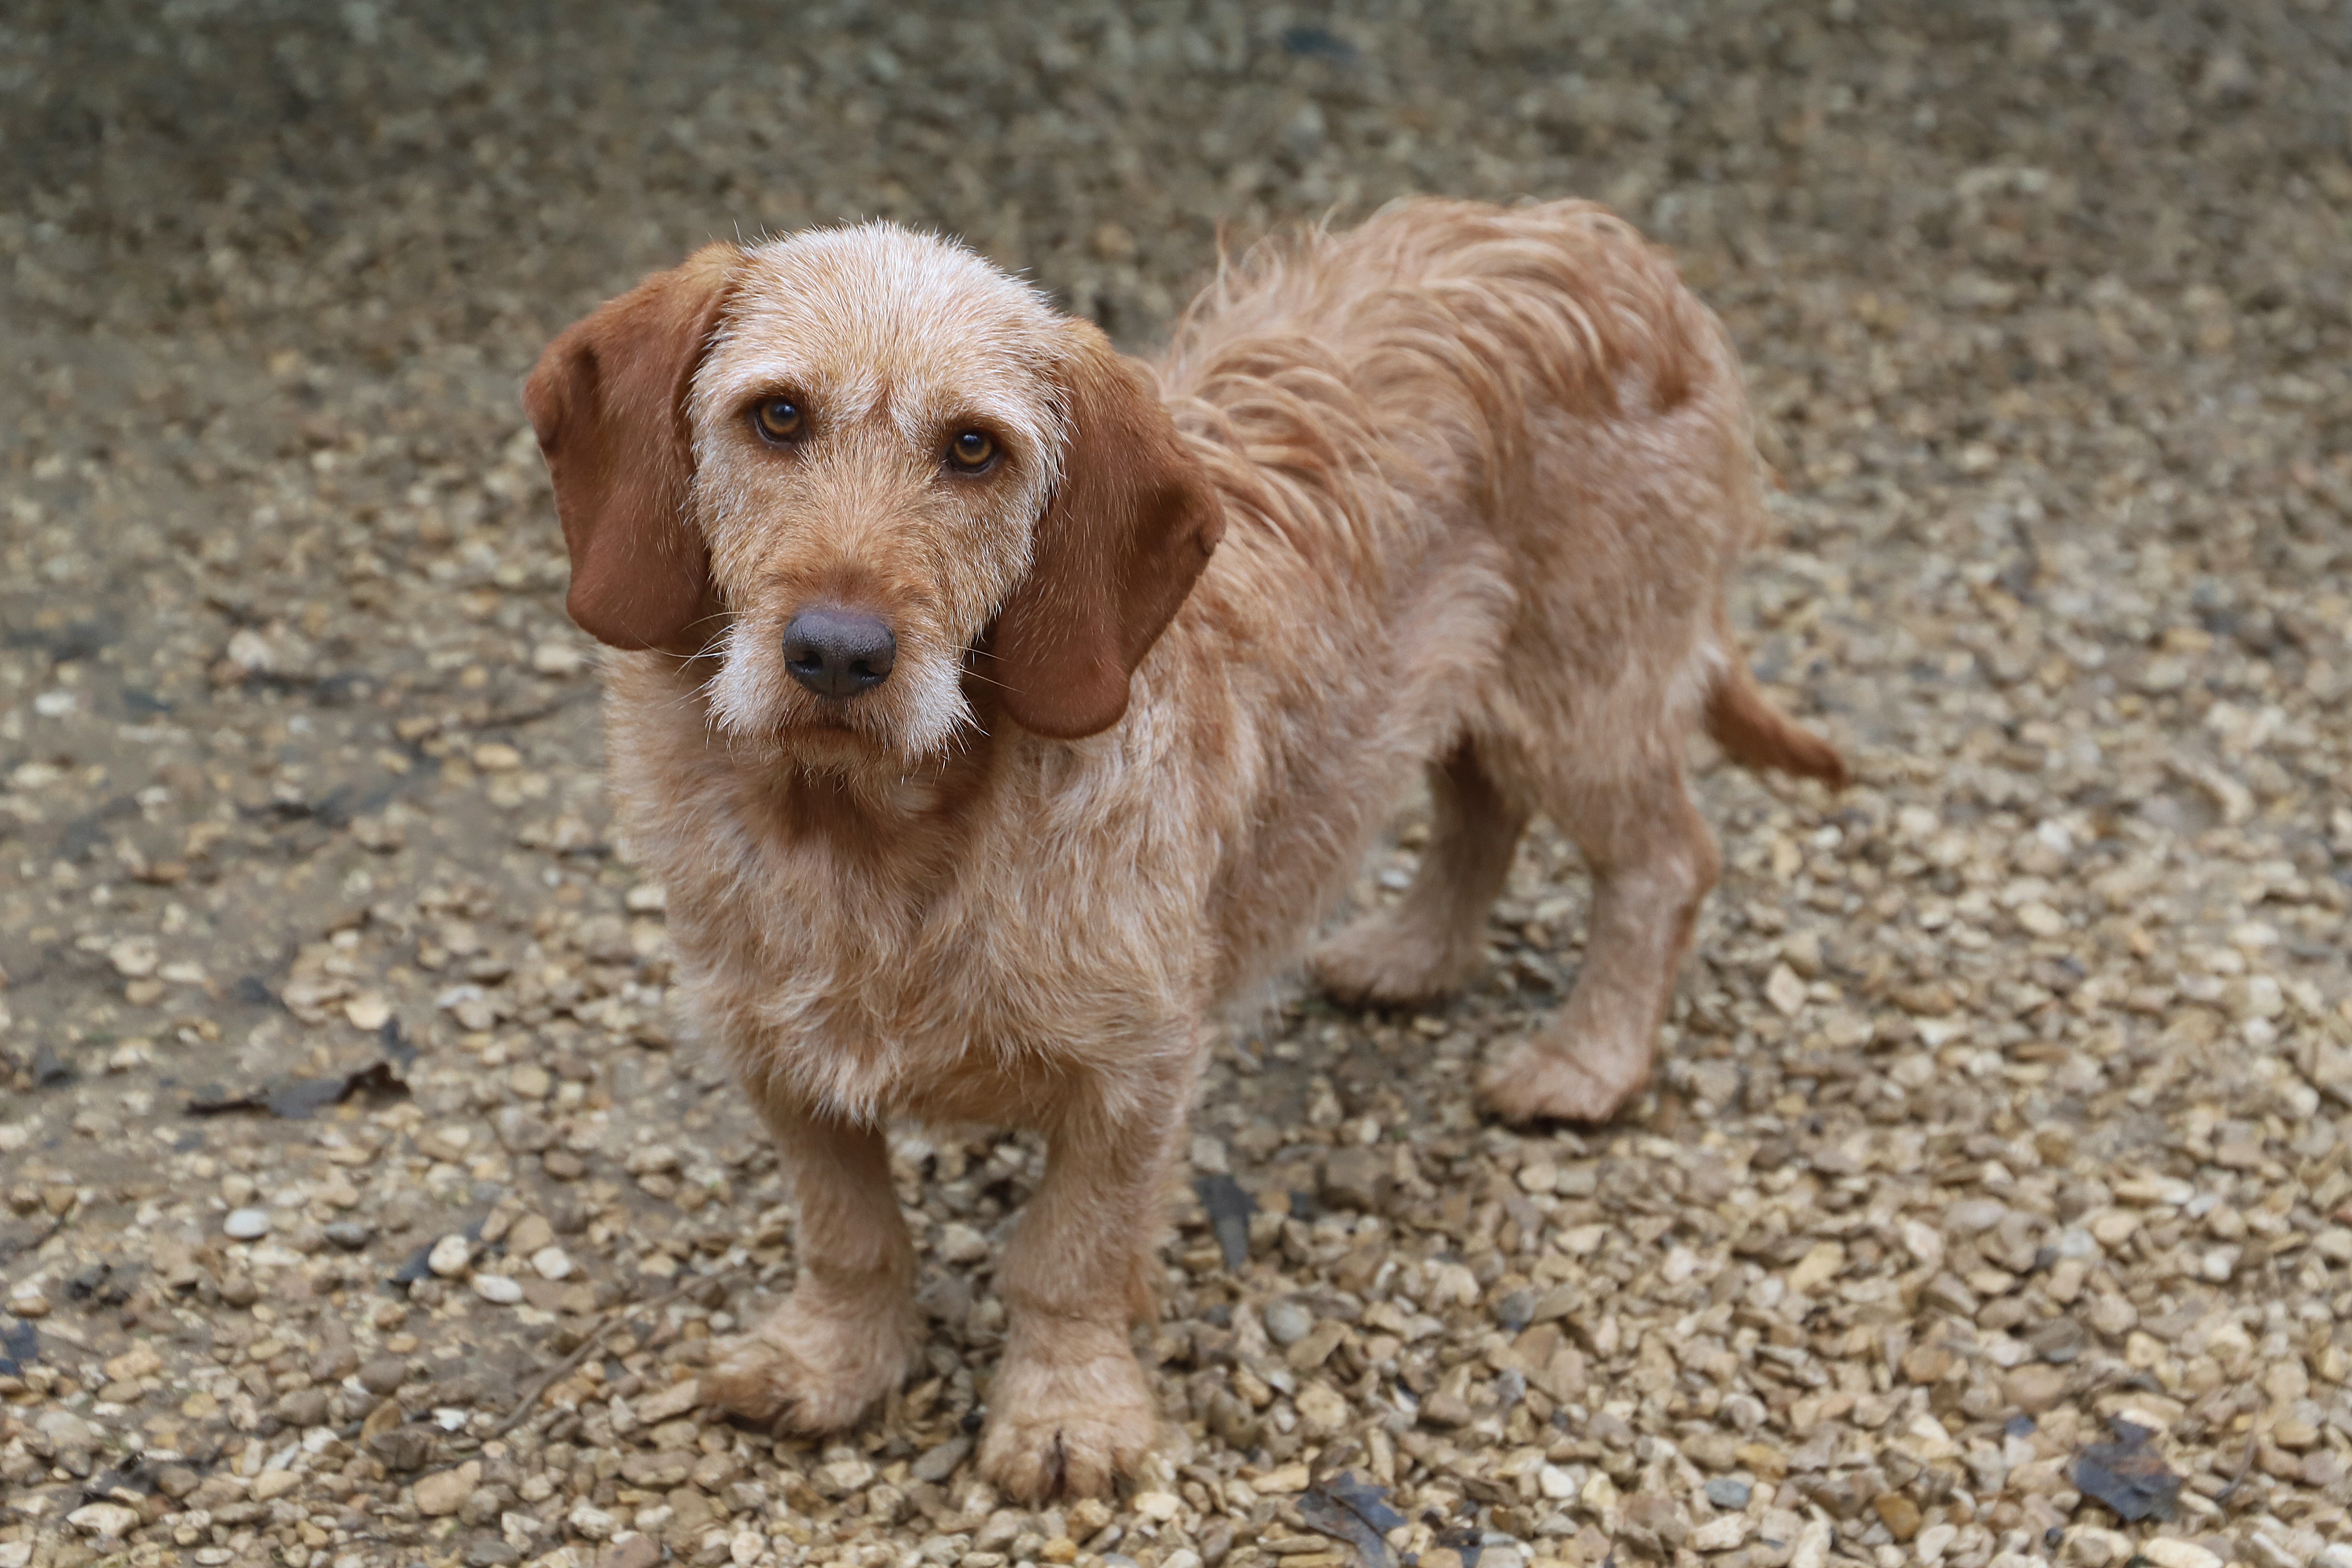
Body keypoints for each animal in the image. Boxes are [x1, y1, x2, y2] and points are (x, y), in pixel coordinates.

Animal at [524, 202, 1844, 1504]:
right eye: (777, 415)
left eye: (974, 449)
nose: (839, 654)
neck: (872, 833)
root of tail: (1606, 242)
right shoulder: (776, 1056)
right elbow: (848, 1232)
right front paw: (832, 1361)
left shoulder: (1138, 1072)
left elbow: (1067, 1256)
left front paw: (1065, 1413)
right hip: (1458, 688)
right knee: (1480, 808)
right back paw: (1416, 953)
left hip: (1578, 702)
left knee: (1669, 859)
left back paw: (1588, 1060)